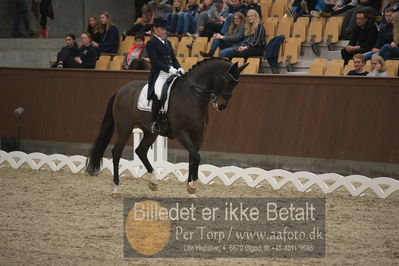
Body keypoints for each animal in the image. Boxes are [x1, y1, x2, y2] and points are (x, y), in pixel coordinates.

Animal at [85, 57, 247, 195]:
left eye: (236, 84)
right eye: (227, 81)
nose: (221, 106)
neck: (192, 96)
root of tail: (121, 90)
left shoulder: (198, 135)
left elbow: (193, 157)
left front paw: (191, 189)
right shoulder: (181, 133)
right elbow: (196, 156)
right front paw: (192, 185)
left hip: (150, 132)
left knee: (140, 151)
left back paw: (153, 182)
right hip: (125, 128)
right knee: (117, 153)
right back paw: (116, 189)